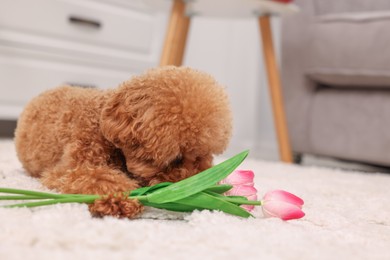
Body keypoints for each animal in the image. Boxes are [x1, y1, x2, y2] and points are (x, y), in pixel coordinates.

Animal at [14, 66, 232, 217]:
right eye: (176, 159)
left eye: (201, 157)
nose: (196, 184)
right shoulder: (68, 169)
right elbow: (98, 179)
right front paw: (120, 200)